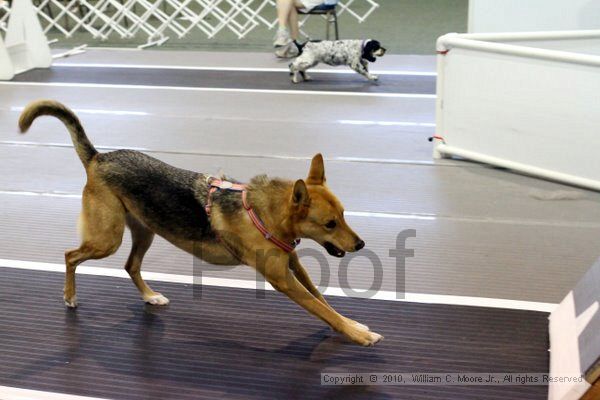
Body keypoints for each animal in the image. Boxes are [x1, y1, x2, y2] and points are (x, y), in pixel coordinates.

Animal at [19, 100, 384, 346]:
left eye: (344, 215)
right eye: (329, 224)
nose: (361, 244)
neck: (265, 213)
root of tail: (99, 157)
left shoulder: (293, 263)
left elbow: (323, 300)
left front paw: (352, 324)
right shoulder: (283, 279)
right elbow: (319, 308)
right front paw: (356, 334)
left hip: (144, 231)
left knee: (130, 266)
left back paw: (150, 296)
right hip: (107, 238)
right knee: (71, 256)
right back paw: (69, 297)